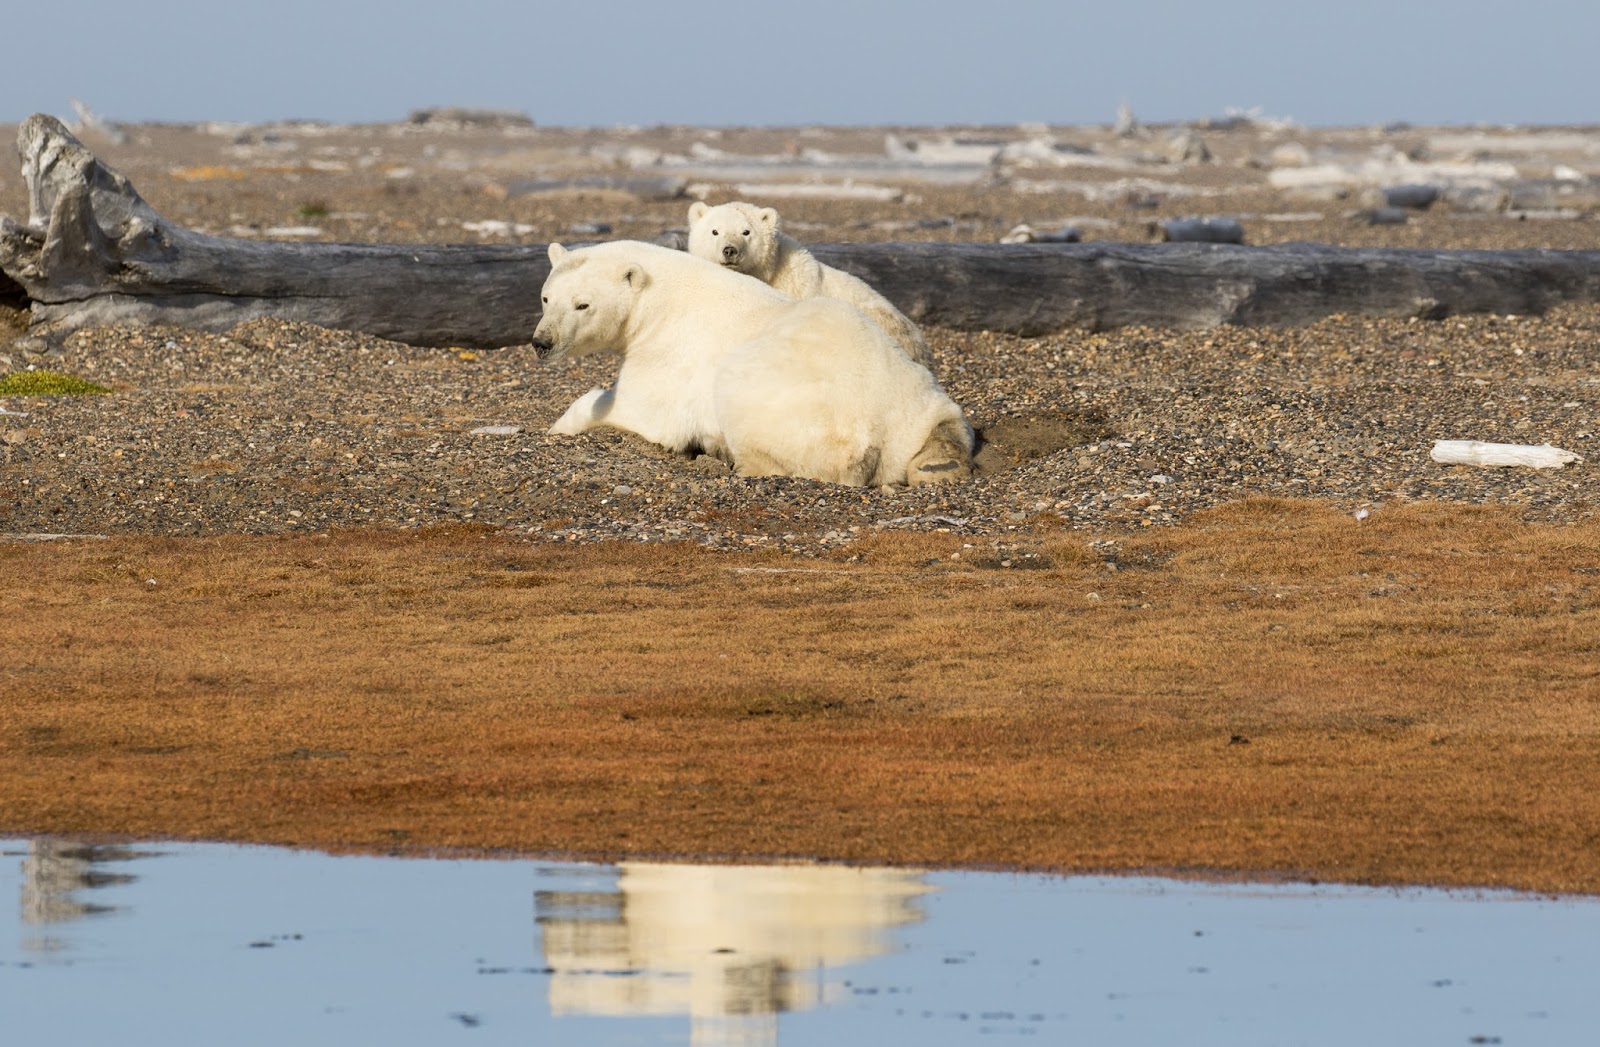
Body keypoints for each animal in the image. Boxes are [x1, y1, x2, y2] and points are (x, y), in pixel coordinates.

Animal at [533, 239, 972, 487]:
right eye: (546, 297)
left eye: (582, 304)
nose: (541, 342)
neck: (657, 300)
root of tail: (881, 432)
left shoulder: (669, 350)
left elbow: (642, 410)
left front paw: (562, 424)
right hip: (916, 395)